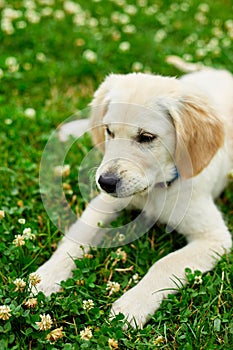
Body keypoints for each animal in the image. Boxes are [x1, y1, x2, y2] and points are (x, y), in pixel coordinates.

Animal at [36, 57, 233, 328]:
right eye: (109, 131)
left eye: (146, 137)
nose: (105, 182)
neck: (155, 189)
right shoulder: (106, 202)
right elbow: (79, 234)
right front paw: (47, 275)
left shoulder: (214, 237)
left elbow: (165, 263)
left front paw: (131, 306)